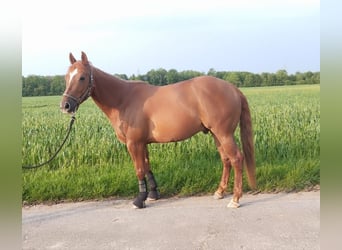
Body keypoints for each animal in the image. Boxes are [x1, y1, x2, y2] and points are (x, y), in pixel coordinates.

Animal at [60, 51, 255, 208]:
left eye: (82, 77)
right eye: (66, 77)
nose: (65, 105)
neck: (124, 99)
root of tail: (232, 88)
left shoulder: (133, 143)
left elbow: (139, 169)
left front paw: (139, 200)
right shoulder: (142, 143)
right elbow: (147, 166)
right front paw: (152, 194)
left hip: (224, 134)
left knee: (236, 159)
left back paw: (235, 199)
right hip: (216, 134)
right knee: (226, 160)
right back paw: (220, 192)